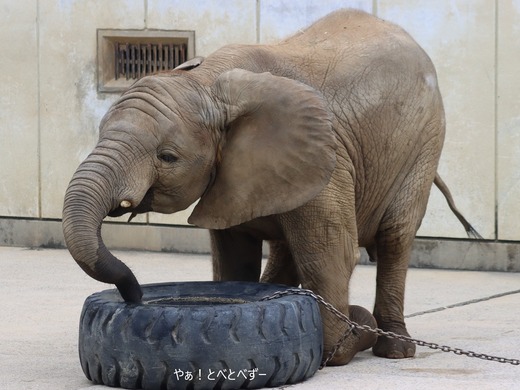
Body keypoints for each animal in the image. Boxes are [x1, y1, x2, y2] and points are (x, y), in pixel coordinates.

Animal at [63, 9, 478, 366]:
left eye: (167, 157)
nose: (134, 294)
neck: (206, 81)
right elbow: (234, 260)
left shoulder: (329, 160)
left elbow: (330, 257)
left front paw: (342, 343)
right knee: (288, 247)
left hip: (425, 143)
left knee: (395, 237)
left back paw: (394, 349)